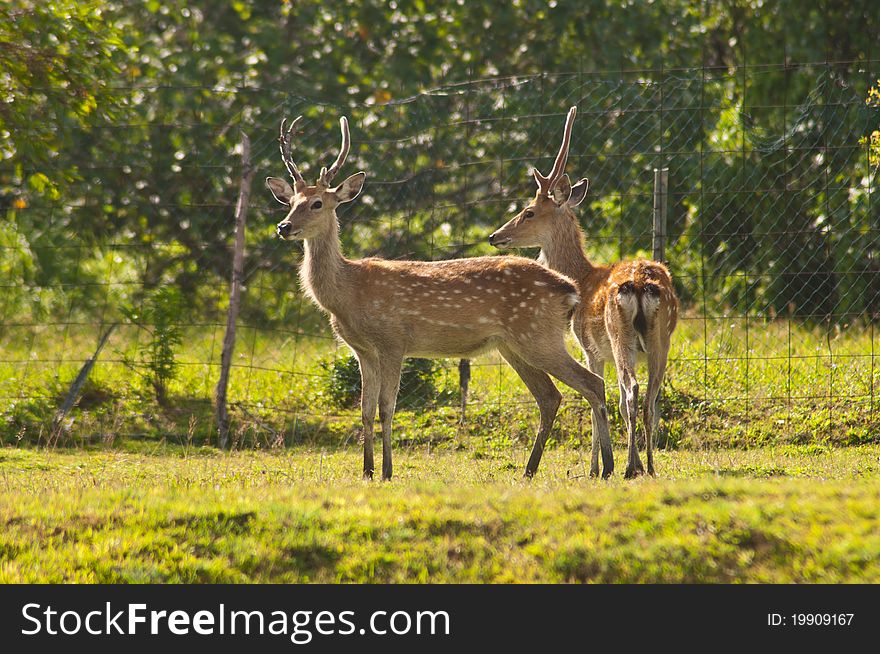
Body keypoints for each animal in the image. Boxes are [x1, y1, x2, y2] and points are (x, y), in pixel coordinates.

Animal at [264, 114, 616, 482]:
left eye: (317, 203)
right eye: (290, 202)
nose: (284, 226)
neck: (348, 294)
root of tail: (569, 288)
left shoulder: (393, 340)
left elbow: (386, 408)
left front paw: (387, 470)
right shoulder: (362, 349)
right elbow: (364, 410)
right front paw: (367, 471)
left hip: (537, 336)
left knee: (592, 383)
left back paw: (608, 466)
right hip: (512, 344)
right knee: (550, 396)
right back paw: (532, 470)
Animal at [488, 107, 680, 482]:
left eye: (528, 212)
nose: (495, 236)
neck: (583, 276)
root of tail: (642, 285)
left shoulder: (590, 347)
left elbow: (599, 398)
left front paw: (594, 468)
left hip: (619, 335)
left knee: (631, 392)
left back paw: (630, 467)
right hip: (661, 338)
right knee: (651, 397)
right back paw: (650, 466)